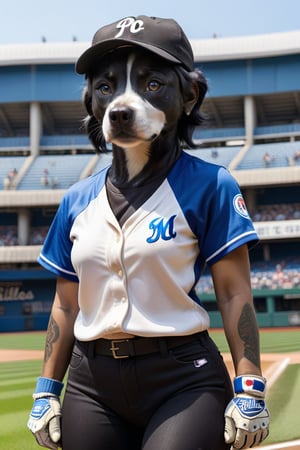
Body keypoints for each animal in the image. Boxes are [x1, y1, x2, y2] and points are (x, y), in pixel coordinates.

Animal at [28, 14, 268, 450]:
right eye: (105, 87)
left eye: (153, 84)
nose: (119, 113)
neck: (136, 170)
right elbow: (64, 309)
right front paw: (44, 409)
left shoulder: (226, 194)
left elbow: (235, 297)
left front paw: (248, 409)